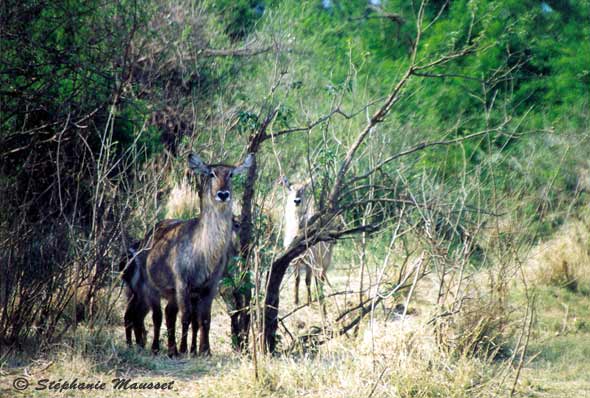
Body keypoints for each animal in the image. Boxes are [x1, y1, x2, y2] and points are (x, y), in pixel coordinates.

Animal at [144, 152, 254, 354]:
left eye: (231, 174)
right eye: (211, 174)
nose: (223, 194)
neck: (204, 252)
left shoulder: (210, 286)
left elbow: (204, 318)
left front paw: (204, 350)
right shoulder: (182, 283)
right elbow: (186, 316)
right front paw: (184, 349)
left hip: (173, 293)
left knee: (169, 313)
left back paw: (171, 349)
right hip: (152, 287)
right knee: (158, 315)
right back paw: (158, 347)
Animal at [280, 176, 332, 304]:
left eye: (303, 189)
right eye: (290, 188)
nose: (297, 201)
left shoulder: (310, 260)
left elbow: (308, 280)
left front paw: (309, 301)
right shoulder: (294, 260)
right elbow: (297, 279)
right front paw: (295, 300)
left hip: (323, 262)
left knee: (320, 279)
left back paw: (319, 296)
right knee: (315, 279)